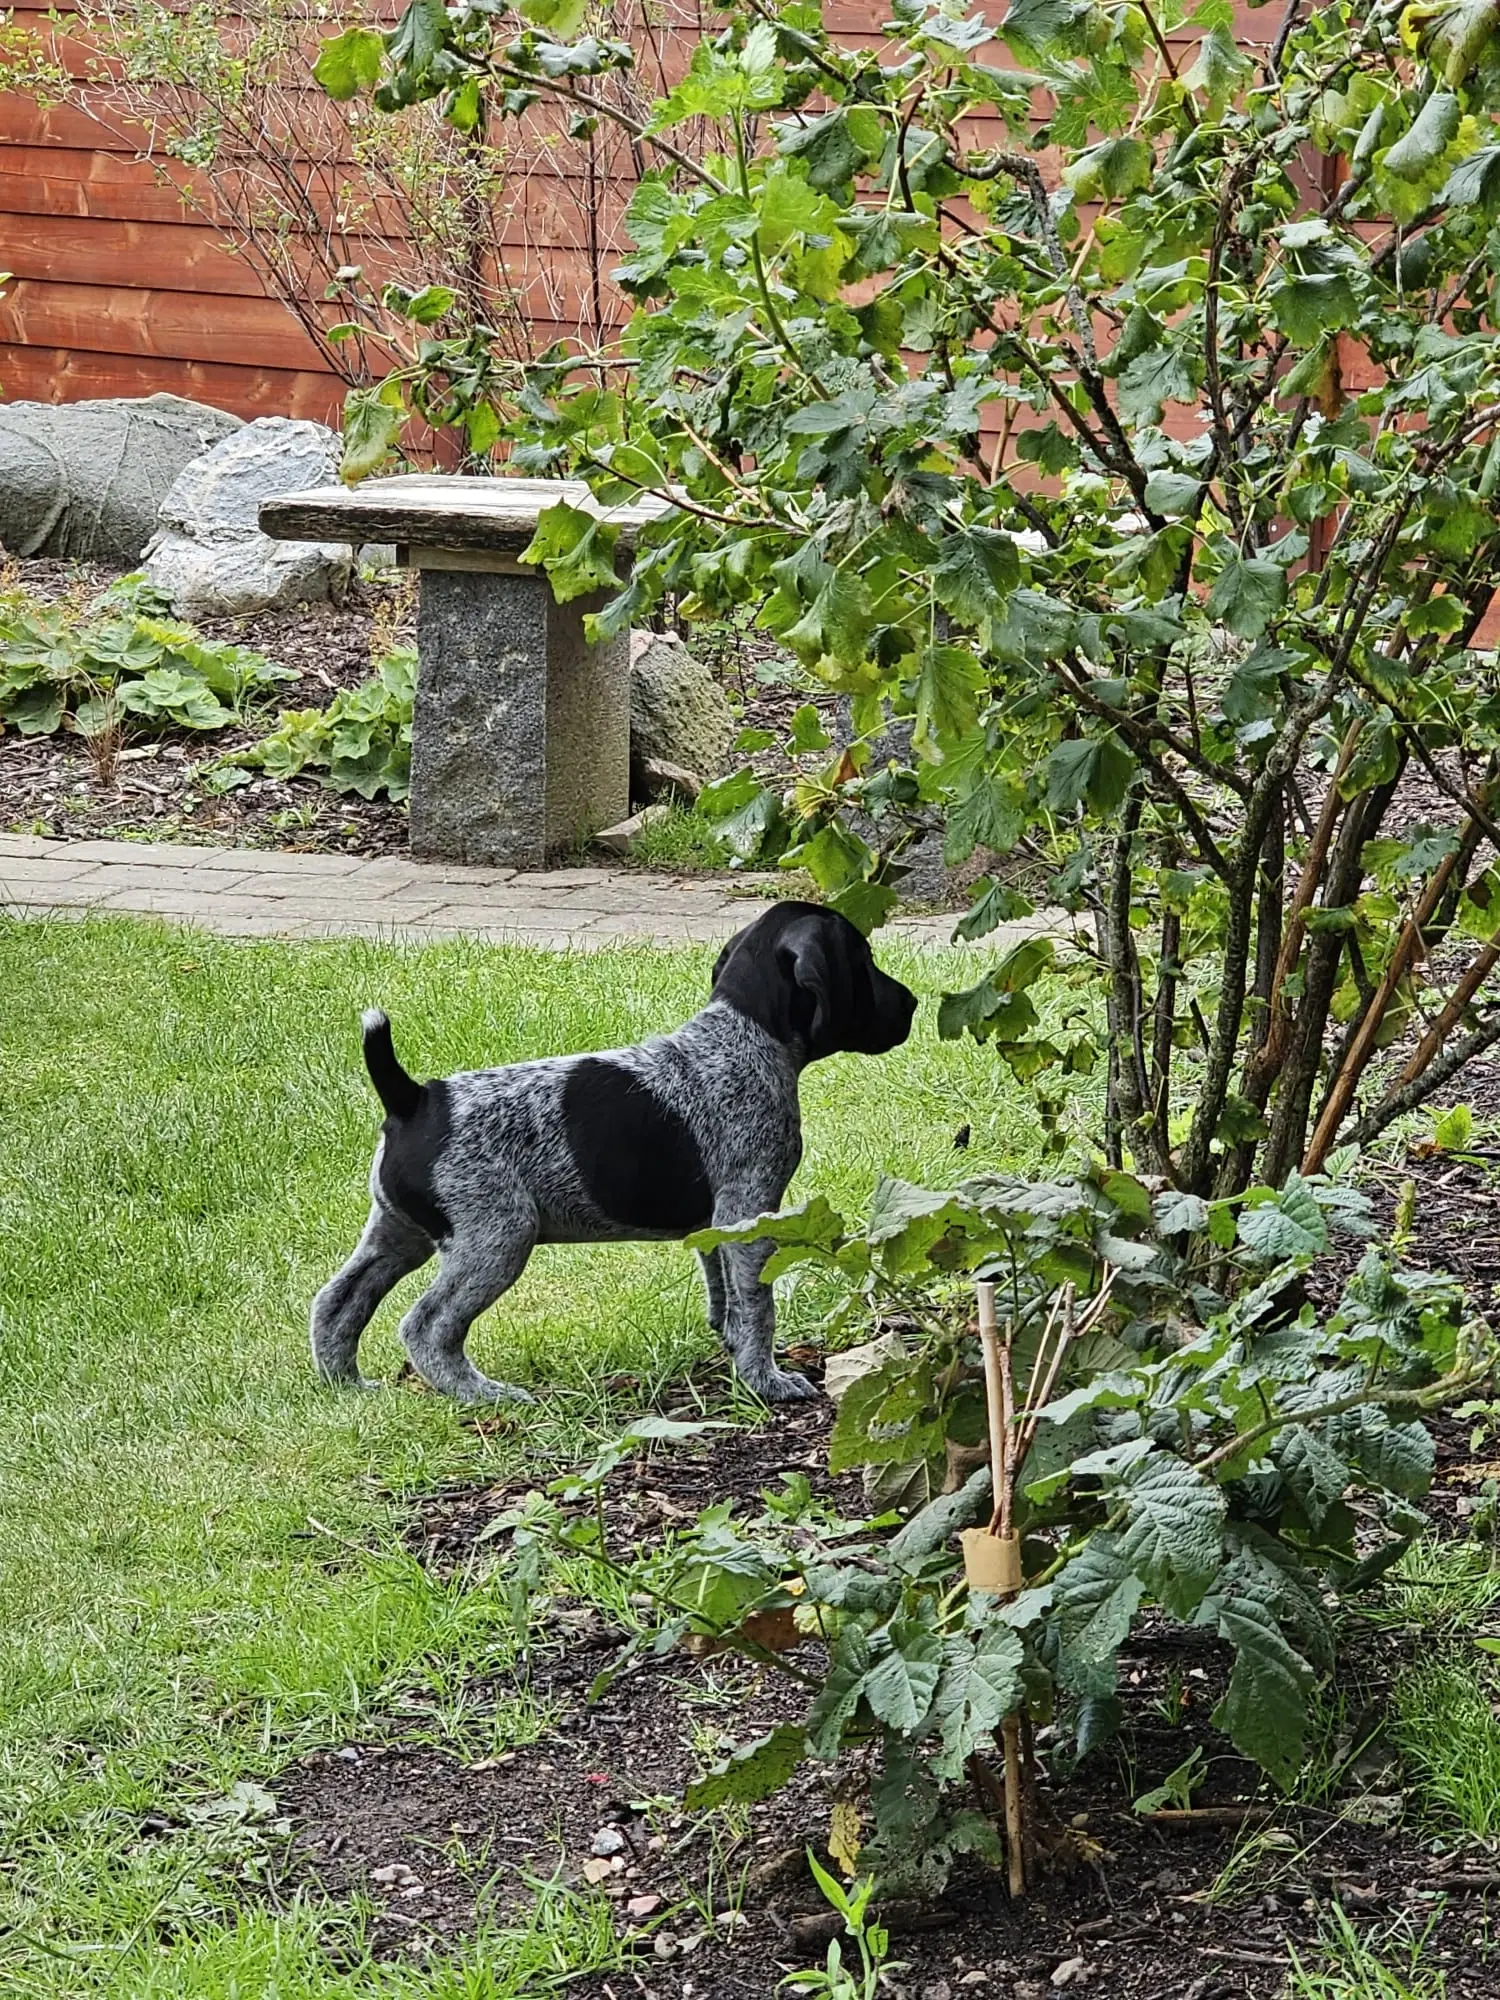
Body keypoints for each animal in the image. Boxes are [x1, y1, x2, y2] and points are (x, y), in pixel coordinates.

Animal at [312, 908, 924, 1408]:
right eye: (864, 961)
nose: (913, 1003)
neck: (743, 1035)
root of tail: (412, 1097)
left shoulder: (714, 1223)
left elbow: (724, 1297)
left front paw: (733, 1353)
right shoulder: (747, 1212)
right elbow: (757, 1306)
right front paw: (765, 1380)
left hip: (398, 1234)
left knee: (334, 1305)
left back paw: (348, 1387)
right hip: (496, 1239)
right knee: (427, 1328)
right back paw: (483, 1395)